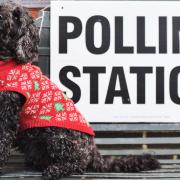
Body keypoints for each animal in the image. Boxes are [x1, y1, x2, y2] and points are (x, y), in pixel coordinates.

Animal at [0, 2, 160, 180]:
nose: (1, 16)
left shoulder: (7, 114)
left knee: (77, 164)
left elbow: (2, 142)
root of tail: (93, 151)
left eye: (17, 16)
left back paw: (55, 170)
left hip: (57, 134)